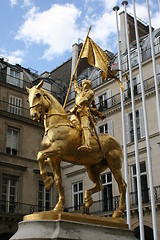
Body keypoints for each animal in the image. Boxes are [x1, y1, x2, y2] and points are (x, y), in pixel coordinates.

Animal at [26, 80, 126, 218]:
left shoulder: (58, 149)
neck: (57, 123)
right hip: (91, 168)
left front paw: (47, 181)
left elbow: (39, 155)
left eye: (38, 94)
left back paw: (118, 212)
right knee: (100, 185)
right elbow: (58, 180)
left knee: (122, 185)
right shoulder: (54, 158)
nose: (33, 115)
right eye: (28, 98)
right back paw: (88, 199)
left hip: (114, 165)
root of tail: (115, 140)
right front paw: (58, 206)